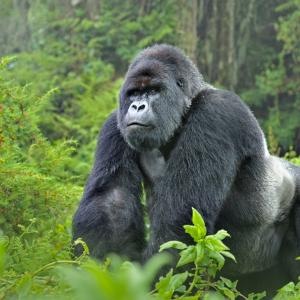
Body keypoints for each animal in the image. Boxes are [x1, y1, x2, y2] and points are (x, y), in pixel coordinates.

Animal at [73, 43, 300, 292]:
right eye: (134, 93)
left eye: (153, 91)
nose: (137, 106)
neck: (187, 108)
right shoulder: (116, 123)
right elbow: (111, 201)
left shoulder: (215, 113)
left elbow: (181, 218)